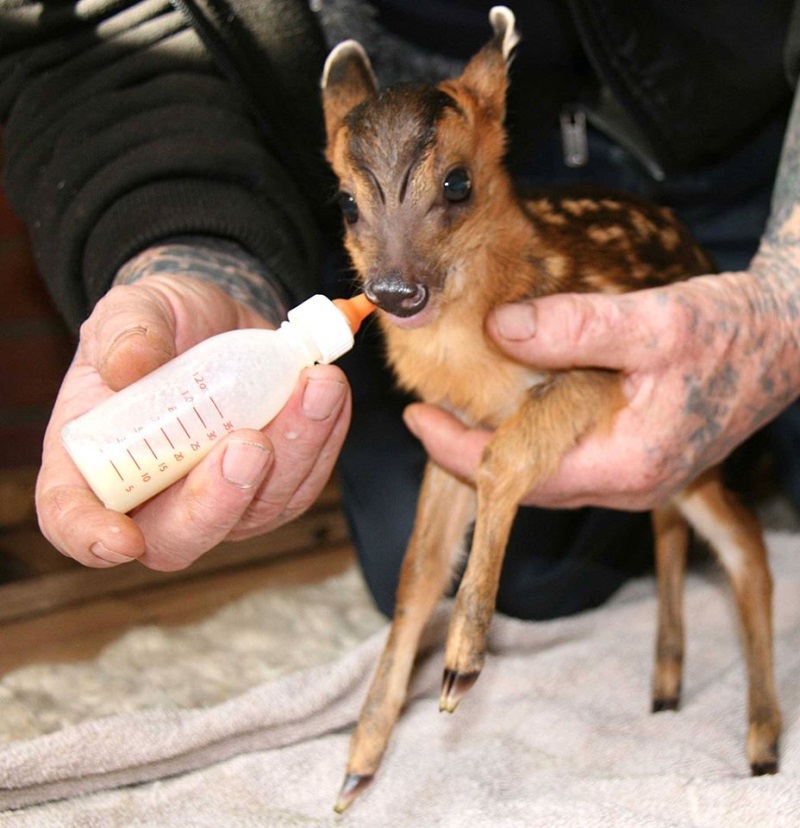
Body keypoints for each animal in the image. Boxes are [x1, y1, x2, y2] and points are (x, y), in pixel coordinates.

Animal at [320, 3, 780, 812]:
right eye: (347, 202)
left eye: (458, 183)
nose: (395, 292)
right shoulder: (448, 429)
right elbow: (416, 573)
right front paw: (358, 766)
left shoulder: (595, 368)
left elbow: (505, 459)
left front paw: (462, 665)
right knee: (669, 527)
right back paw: (666, 684)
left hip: (700, 443)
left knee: (746, 546)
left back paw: (759, 740)